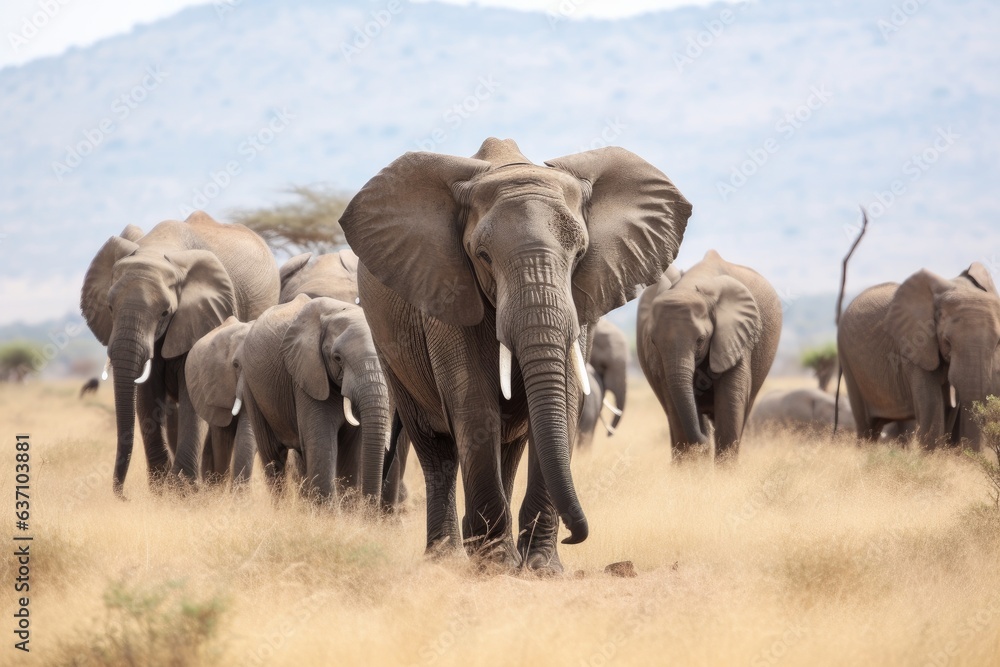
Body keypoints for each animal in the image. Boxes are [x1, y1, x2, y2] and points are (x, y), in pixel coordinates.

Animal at [239, 294, 392, 503]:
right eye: (337, 358)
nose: (371, 508)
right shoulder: (306, 375)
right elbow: (321, 443)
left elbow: (350, 450)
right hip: (251, 386)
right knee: (273, 456)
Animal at [339, 137, 692, 571]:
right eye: (483, 256)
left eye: (580, 254)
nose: (576, 535)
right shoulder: (447, 287)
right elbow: (473, 404)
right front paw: (493, 567)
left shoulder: (582, 300)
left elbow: (566, 401)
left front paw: (540, 568)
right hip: (389, 347)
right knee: (436, 448)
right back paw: (446, 558)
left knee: (507, 448)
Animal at [637, 250, 782, 460]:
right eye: (654, 342)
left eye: (701, 339)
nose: (705, 440)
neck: (691, 286)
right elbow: (675, 406)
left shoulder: (737, 337)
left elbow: (730, 403)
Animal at [837, 263, 1000, 450]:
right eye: (947, 342)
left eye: (997, 343)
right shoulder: (914, 344)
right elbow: (930, 403)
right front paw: (931, 455)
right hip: (848, 362)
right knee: (867, 427)